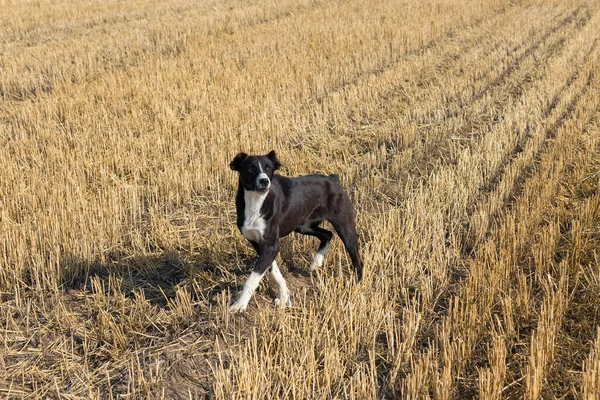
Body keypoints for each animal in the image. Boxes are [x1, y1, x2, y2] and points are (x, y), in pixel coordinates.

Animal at [229, 150, 360, 312]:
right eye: (251, 168)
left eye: (268, 168)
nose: (265, 181)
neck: (256, 202)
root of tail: (332, 178)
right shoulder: (258, 244)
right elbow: (274, 272)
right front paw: (284, 297)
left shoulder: (271, 245)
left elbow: (252, 279)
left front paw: (239, 304)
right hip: (303, 226)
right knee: (327, 234)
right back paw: (316, 262)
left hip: (345, 228)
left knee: (357, 260)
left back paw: (357, 287)